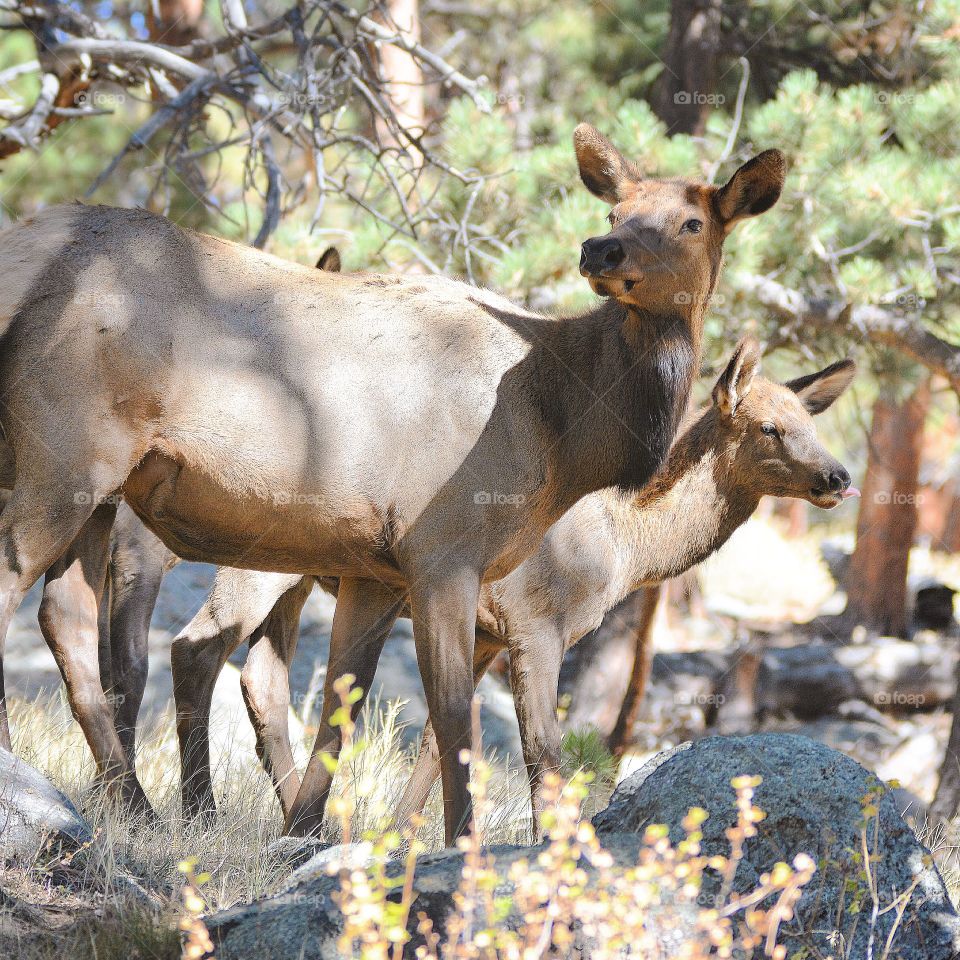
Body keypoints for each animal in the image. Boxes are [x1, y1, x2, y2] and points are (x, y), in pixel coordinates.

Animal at [0, 127, 784, 842]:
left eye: (693, 222)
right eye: (618, 209)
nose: (602, 250)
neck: (566, 435)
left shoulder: (374, 568)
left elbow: (339, 710)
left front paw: (304, 836)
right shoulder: (447, 554)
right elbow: (457, 722)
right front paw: (459, 846)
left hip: (104, 494)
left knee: (66, 617)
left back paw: (135, 806)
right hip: (62, 460)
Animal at [164, 337, 856, 835]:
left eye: (811, 422)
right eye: (767, 427)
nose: (839, 476)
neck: (622, 550)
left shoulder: (488, 635)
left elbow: (440, 739)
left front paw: (399, 838)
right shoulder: (535, 624)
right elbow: (540, 754)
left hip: (296, 575)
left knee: (261, 675)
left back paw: (294, 823)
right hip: (253, 560)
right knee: (196, 645)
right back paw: (200, 815)